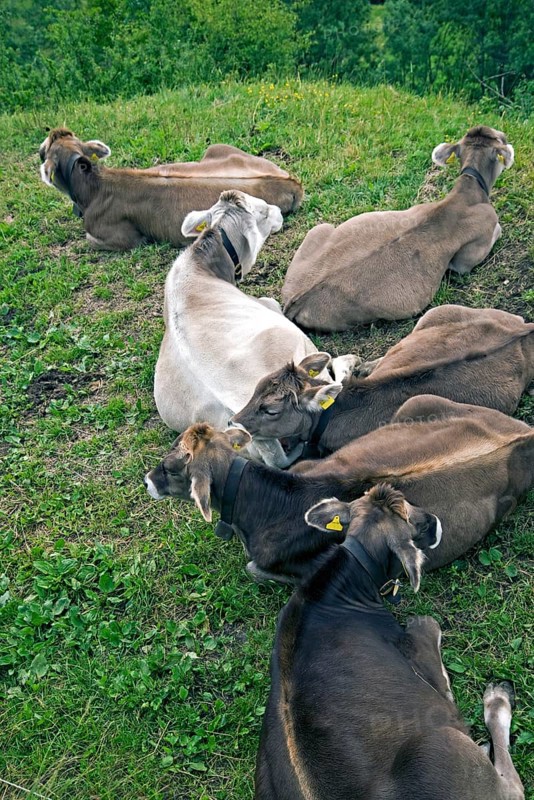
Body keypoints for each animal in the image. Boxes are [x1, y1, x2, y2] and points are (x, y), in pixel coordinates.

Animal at [39, 128, 303, 250]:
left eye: (43, 152)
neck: (94, 187)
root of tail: (293, 182)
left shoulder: (125, 238)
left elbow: (90, 239)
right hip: (218, 147)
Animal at [255, 484, 525, 800]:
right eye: (414, 520)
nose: (436, 522)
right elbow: (430, 630)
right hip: (435, 746)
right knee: (513, 787)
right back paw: (498, 697)